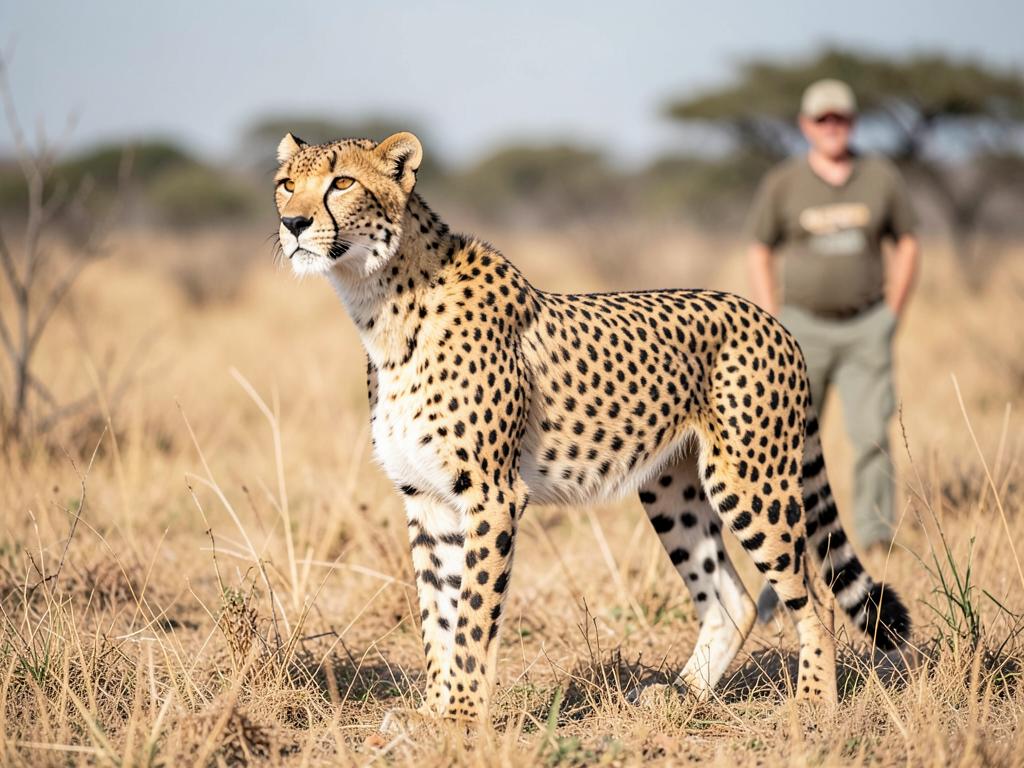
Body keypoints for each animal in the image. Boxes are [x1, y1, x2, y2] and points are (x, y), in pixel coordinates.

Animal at [273, 131, 911, 723]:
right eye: (286, 184)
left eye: (342, 183)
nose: (292, 223)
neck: (381, 304)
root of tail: (770, 317)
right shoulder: (426, 500)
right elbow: (437, 615)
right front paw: (432, 711)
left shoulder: (493, 496)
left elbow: (472, 617)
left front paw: (460, 717)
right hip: (672, 489)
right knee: (733, 598)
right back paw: (680, 697)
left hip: (752, 482)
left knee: (813, 597)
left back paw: (814, 705)